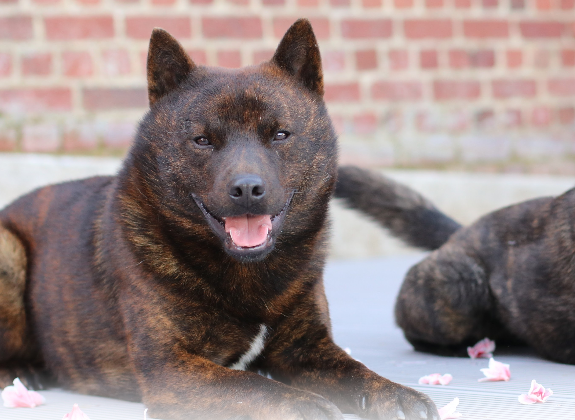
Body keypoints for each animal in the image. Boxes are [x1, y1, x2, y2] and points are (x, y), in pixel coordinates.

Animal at [0, 20, 439, 420]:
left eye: (280, 134)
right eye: (202, 140)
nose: (246, 189)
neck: (248, 274)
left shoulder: (307, 349)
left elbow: (356, 371)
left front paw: (396, 393)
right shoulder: (171, 368)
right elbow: (251, 385)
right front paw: (302, 405)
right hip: (9, 250)